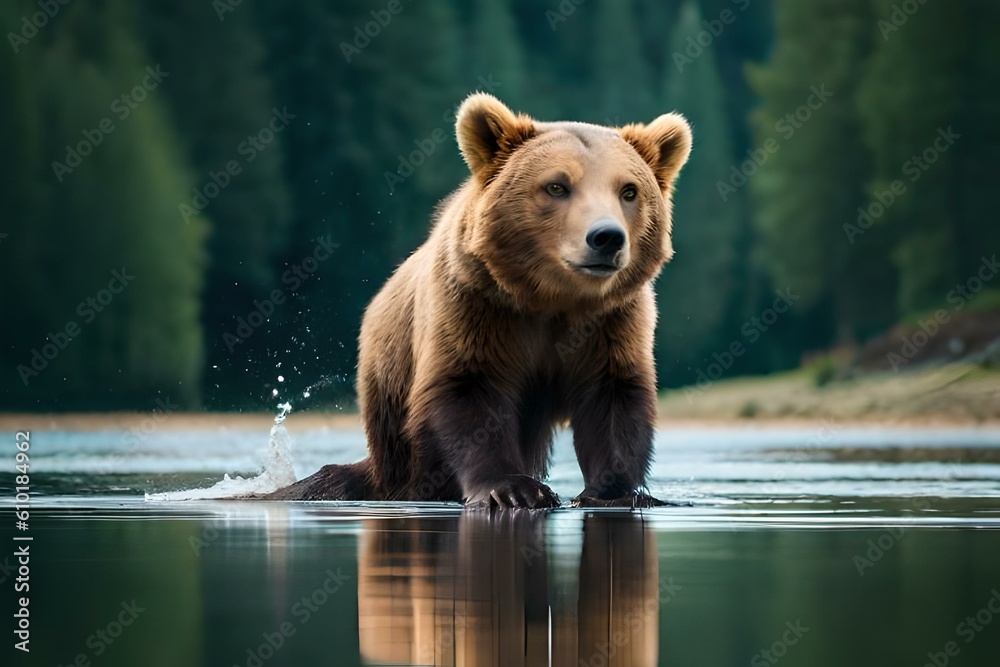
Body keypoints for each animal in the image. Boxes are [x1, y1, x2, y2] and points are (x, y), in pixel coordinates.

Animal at [268, 93, 692, 508]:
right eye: (557, 186)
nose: (606, 237)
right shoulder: (475, 305)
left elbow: (612, 397)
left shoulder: (611, 321)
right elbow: (470, 391)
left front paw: (618, 491)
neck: (551, 299)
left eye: (629, 190)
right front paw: (513, 489)